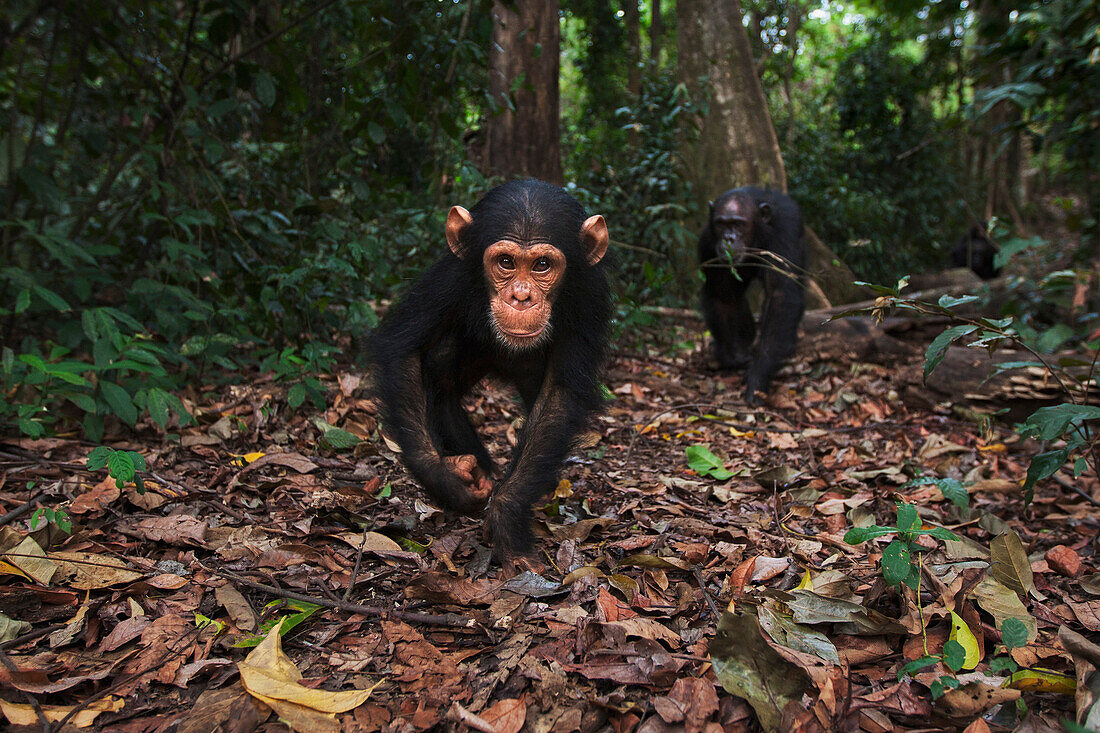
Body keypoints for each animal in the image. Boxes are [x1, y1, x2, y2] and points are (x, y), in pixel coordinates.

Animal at [367, 178, 611, 563]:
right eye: (506, 262)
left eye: (542, 265)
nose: (521, 297)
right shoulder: (447, 279)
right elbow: (403, 350)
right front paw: (448, 479)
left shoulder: (589, 298)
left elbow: (560, 395)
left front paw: (506, 514)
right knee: (440, 370)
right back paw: (477, 469)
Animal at [695, 188, 809, 402]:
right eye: (721, 224)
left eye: (738, 223)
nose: (728, 238)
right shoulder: (707, 242)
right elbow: (724, 295)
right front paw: (734, 355)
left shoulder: (785, 232)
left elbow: (781, 294)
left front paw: (759, 374)